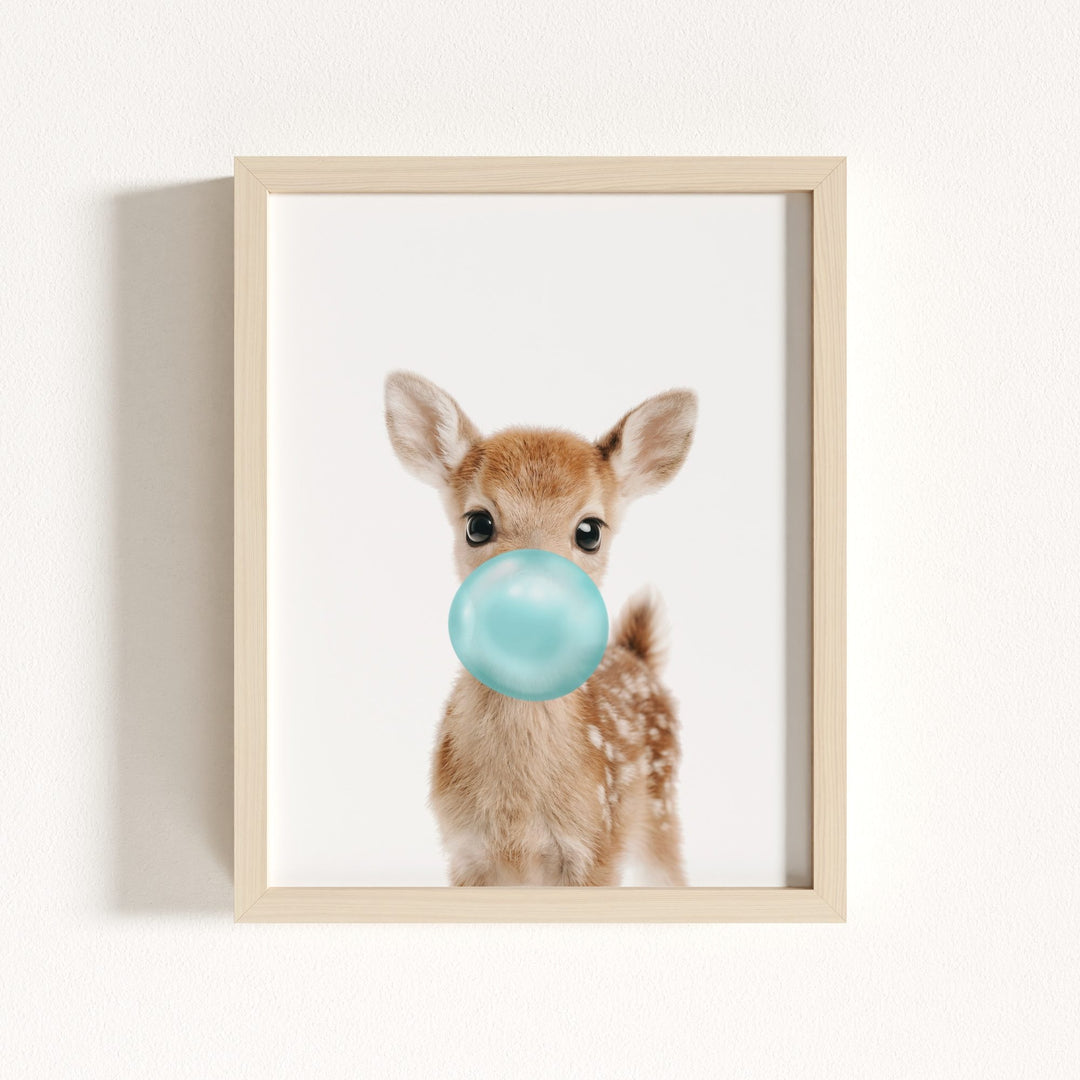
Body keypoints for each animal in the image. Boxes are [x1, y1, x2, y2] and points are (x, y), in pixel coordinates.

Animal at [384, 371, 697, 886]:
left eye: (590, 531)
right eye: (478, 523)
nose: (530, 603)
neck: (516, 817)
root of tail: (637, 654)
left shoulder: (597, 848)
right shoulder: (464, 853)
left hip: (661, 812)